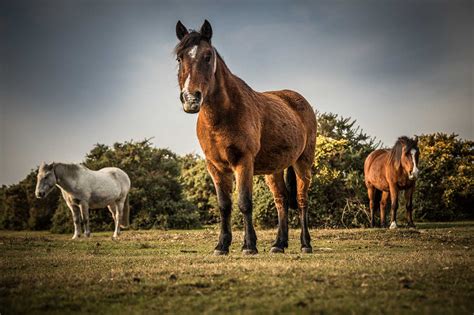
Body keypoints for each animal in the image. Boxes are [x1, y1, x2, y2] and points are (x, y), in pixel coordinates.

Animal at [173, 19, 314, 256]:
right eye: (179, 57)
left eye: (207, 56)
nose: (191, 98)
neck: (224, 114)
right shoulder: (215, 167)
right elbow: (224, 205)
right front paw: (222, 245)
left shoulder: (243, 162)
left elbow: (244, 203)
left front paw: (249, 245)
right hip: (274, 170)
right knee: (282, 200)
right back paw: (279, 244)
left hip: (303, 163)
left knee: (302, 200)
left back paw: (305, 244)